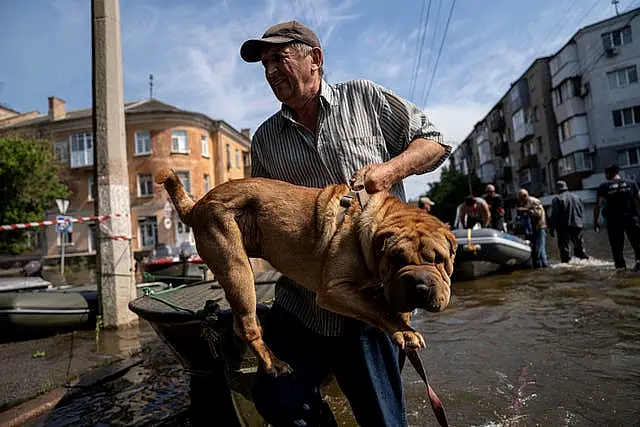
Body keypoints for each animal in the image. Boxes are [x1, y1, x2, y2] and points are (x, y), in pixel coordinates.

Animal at [158, 171, 458, 378]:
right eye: (396, 259)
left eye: (440, 260)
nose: (420, 286)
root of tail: (197, 205)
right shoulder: (335, 289)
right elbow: (377, 309)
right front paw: (404, 332)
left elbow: (387, 305)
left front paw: (404, 321)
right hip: (236, 267)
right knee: (247, 325)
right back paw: (274, 363)